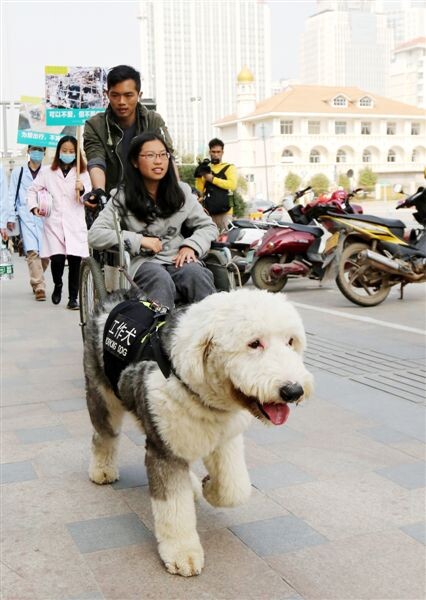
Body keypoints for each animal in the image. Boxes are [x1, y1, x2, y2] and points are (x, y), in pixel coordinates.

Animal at [84, 288, 312, 580]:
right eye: (254, 344)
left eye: (290, 341)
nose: (293, 391)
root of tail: (117, 294)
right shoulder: (163, 448)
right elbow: (173, 506)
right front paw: (183, 554)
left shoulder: (226, 438)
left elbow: (235, 488)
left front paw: (208, 487)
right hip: (103, 394)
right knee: (104, 434)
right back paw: (102, 470)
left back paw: (192, 485)